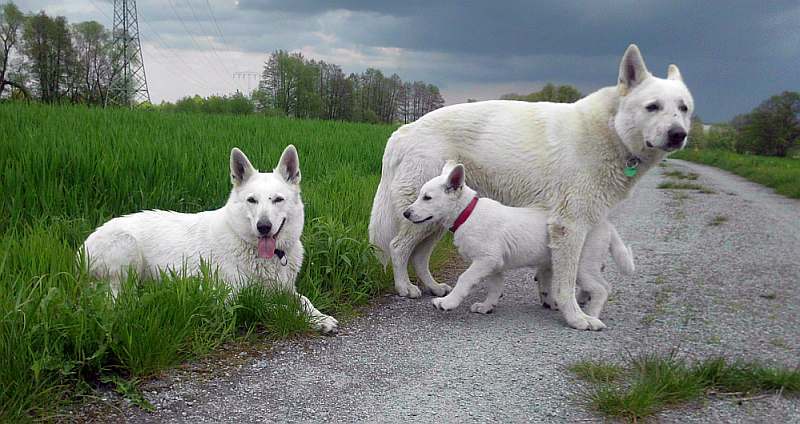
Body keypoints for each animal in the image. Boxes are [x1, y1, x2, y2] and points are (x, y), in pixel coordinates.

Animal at [83, 146, 340, 334]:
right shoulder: (234, 298)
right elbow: (278, 307)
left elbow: (304, 300)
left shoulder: (285, 288)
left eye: (278, 199)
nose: (263, 227)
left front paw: (320, 317)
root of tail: (81, 248)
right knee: (114, 302)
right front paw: (307, 319)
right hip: (127, 248)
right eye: (252, 200)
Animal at [404, 162, 636, 318]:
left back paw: (591, 315)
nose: (406, 213)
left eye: (427, 198)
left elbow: (464, 279)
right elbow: (495, 288)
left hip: (582, 264)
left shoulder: (485, 260)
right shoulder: (494, 265)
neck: (467, 213)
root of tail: (605, 224)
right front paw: (487, 306)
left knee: (602, 288)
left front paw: (448, 302)